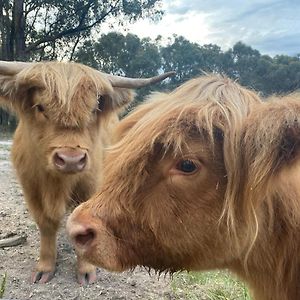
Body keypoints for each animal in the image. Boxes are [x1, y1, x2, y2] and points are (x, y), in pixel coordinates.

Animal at [0, 60, 173, 284]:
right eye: (40, 107)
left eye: (94, 109)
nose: (71, 160)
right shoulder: (32, 188)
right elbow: (46, 225)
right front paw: (44, 268)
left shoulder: (91, 186)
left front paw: (86, 270)